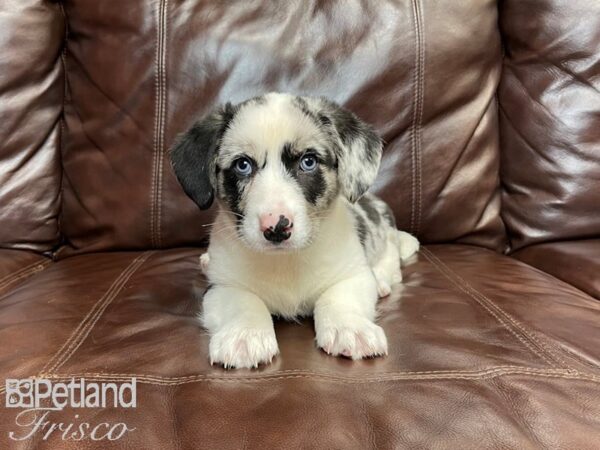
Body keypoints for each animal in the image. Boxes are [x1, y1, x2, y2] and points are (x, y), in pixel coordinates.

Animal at [171, 92, 420, 370]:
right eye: (242, 165)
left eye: (308, 162)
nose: (276, 227)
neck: (286, 261)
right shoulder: (221, 287)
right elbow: (245, 303)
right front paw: (244, 335)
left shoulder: (350, 275)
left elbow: (338, 299)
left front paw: (351, 329)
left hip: (387, 242)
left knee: (390, 265)